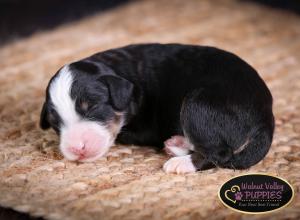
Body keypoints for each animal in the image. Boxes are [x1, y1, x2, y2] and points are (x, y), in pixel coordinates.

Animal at [39, 43, 274, 174]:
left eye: (93, 107)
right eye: (55, 122)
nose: (76, 149)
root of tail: (266, 121)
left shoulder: (144, 127)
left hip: (196, 105)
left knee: (220, 153)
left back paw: (180, 163)